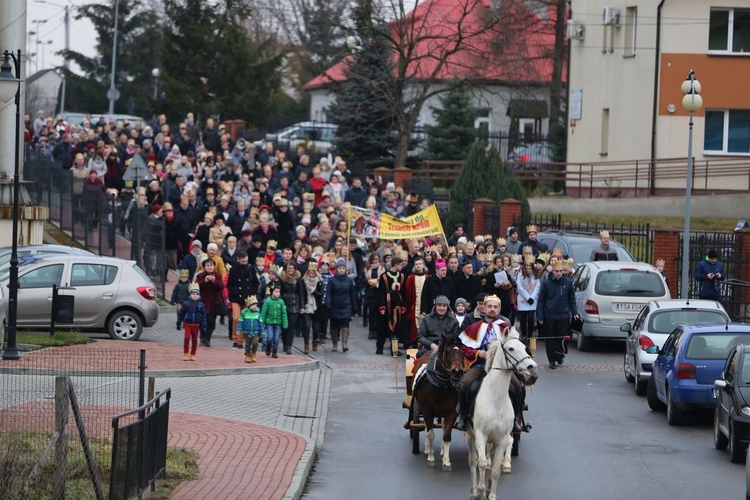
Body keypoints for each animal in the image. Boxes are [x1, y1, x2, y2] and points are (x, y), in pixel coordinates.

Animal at [412, 334, 464, 470]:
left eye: (463, 351)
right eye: (448, 351)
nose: (457, 371)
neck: (442, 386)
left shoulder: (452, 412)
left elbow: (447, 435)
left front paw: (446, 461)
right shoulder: (427, 410)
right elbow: (430, 434)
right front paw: (430, 458)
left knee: (444, 427)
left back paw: (441, 453)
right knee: (427, 428)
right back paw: (427, 450)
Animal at [468, 330, 536, 498]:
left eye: (525, 348)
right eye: (511, 348)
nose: (532, 368)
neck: (496, 398)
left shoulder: (501, 438)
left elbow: (495, 470)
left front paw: (491, 494)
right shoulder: (481, 435)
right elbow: (481, 464)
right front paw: (480, 492)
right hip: (470, 435)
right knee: (472, 462)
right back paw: (474, 491)